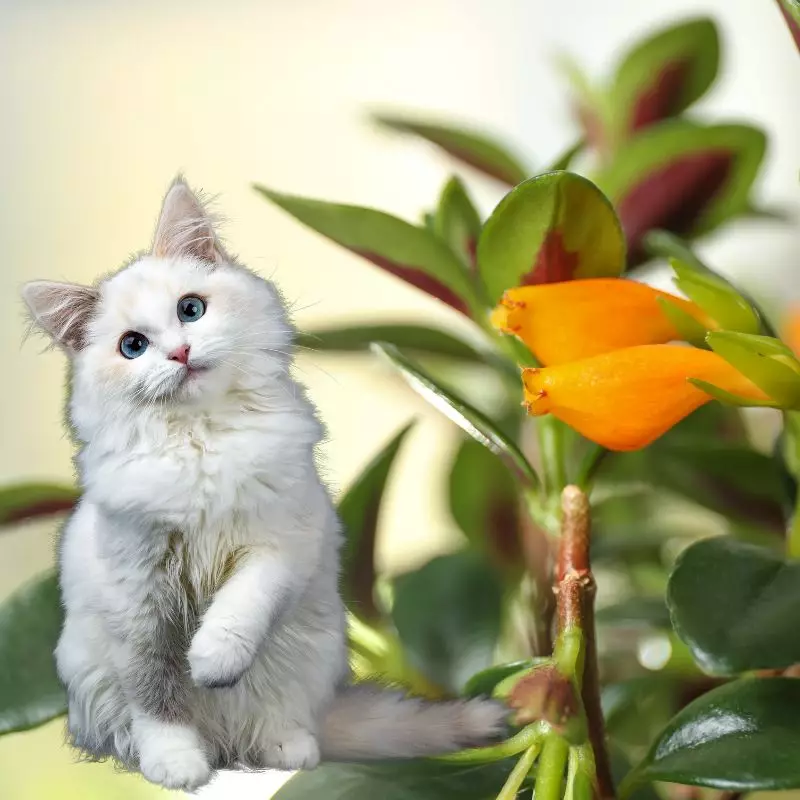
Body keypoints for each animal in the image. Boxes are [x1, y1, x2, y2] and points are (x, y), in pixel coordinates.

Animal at [23, 178, 506, 792]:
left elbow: (239, 609)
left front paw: (210, 662)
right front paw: (177, 764)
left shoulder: (281, 543)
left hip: (308, 652)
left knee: (283, 718)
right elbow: (157, 695)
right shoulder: (138, 599)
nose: (180, 352)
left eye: (191, 309)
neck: (203, 441)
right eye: (133, 346)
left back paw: (285, 747)